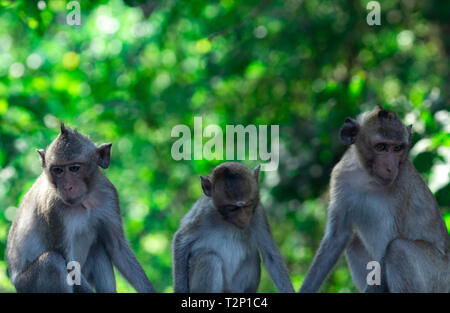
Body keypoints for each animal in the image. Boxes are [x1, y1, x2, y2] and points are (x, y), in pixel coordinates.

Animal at [4, 124, 156, 292]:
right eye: (58, 170)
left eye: (74, 168)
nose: (67, 187)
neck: (84, 200)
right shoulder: (53, 209)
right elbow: (68, 264)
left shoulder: (108, 194)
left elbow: (116, 247)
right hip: (28, 285)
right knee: (52, 262)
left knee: (98, 248)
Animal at [172, 161, 296, 292]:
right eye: (232, 208)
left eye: (248, 205)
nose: (243, 219)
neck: (227, 221)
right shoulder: (203, 213)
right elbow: (180, 240)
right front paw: (180, 289)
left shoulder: (258, 213)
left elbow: (271, 256)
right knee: (209, 259)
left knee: (252, 257)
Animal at [298, 106, 450, 292]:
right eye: (381, 147)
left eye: (397, 148)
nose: (390, 168)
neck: (367, 177)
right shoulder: (340, 176)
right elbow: (337, 237)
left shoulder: (401, 185)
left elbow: (385, 253)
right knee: (354, 241)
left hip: (440, 277)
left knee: (398, 249)